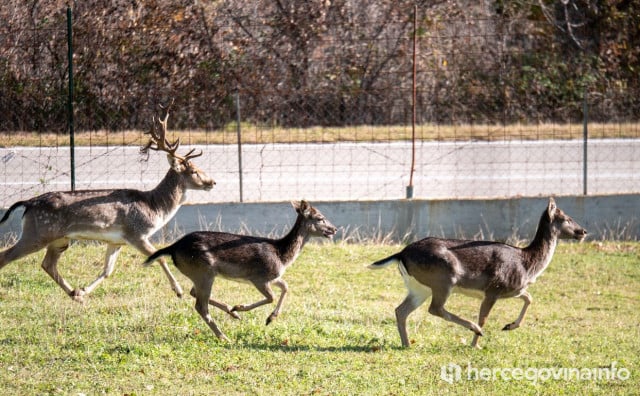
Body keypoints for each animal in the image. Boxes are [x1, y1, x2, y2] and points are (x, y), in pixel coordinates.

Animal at [0, 103, 215, 302]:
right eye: (194, 170)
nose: (212, 182)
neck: (154, 207)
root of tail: (28, 203)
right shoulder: (136, 233)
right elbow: (160, 259)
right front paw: (178, 291)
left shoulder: (116, 241)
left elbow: (107, 271)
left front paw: (84, 290)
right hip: (37, 232)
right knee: (6, 257)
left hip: (59, 239)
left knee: (47, 264)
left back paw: (75, 294)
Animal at [143, 200, 338, 342]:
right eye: (320, 217)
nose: (334, 229)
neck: (281, 255)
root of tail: (172, 248)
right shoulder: (259, 277)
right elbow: (271, 296)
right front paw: (242, 307)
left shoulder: (273, 276)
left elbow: (286, 286)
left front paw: (269, 318)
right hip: (204, 271)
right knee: (200, 306)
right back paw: (224, 336)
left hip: (199, 273)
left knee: (193, 292)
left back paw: (232, 313)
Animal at [370, 197, 584, 346]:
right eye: (567, 218)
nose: (583, 231)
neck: (527, 263)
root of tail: (401, 253)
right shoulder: (493, 288)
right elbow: (484, 317)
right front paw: (476, 343)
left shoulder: (513, 290)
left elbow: (529, 298)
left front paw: (509, 326)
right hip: (443, 278)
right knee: (435, 308)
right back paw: (475, 330)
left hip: (419, 287)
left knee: (401, 310)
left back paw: (407, 343)